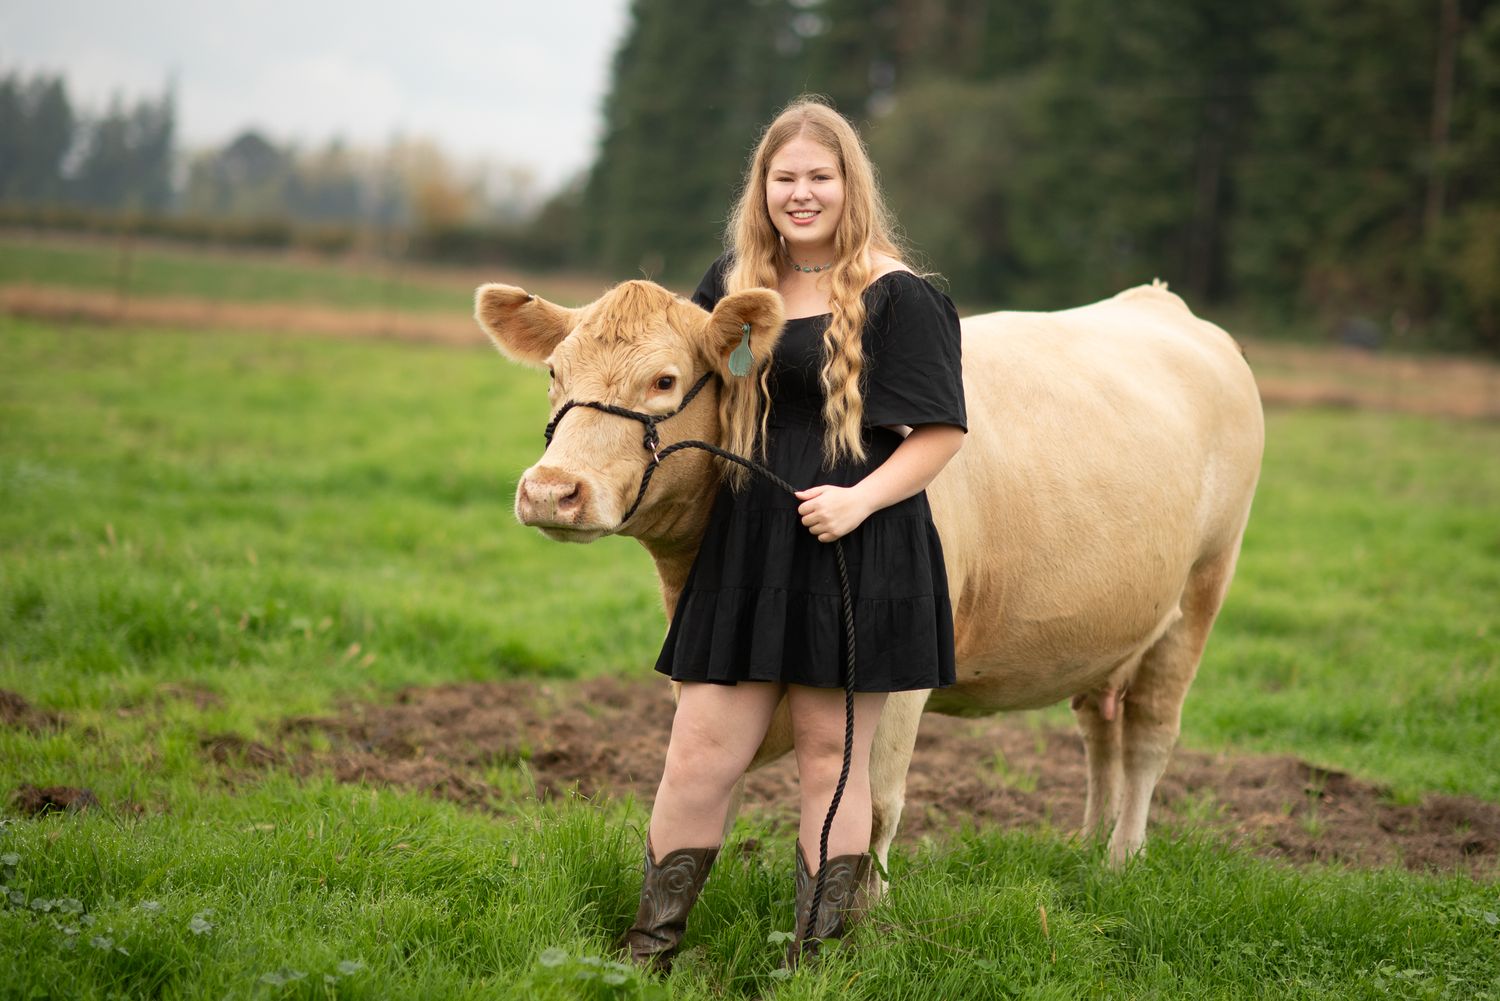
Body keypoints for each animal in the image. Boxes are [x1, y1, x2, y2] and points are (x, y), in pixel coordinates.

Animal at [474, 277, 1264, 869]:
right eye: (554, 374)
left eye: (664, 379)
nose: (550, 489)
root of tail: (1157, 301)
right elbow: (707, 791)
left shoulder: (905, 671)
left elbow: (873, 808)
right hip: (1112, 628)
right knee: (1101, 728)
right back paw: (1088, 842)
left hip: (1203, 589)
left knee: (1149, 734)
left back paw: (1120, 860)